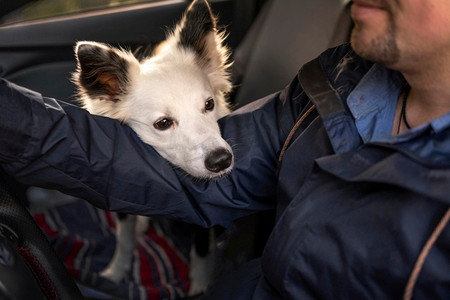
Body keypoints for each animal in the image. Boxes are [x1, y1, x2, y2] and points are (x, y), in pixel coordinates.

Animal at [71, 0, 232, 296]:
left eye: (209, 105)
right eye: (163, 123)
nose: (221, 160)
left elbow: (202, 252)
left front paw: (200, 287)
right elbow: (123, 240)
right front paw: (115, 273)